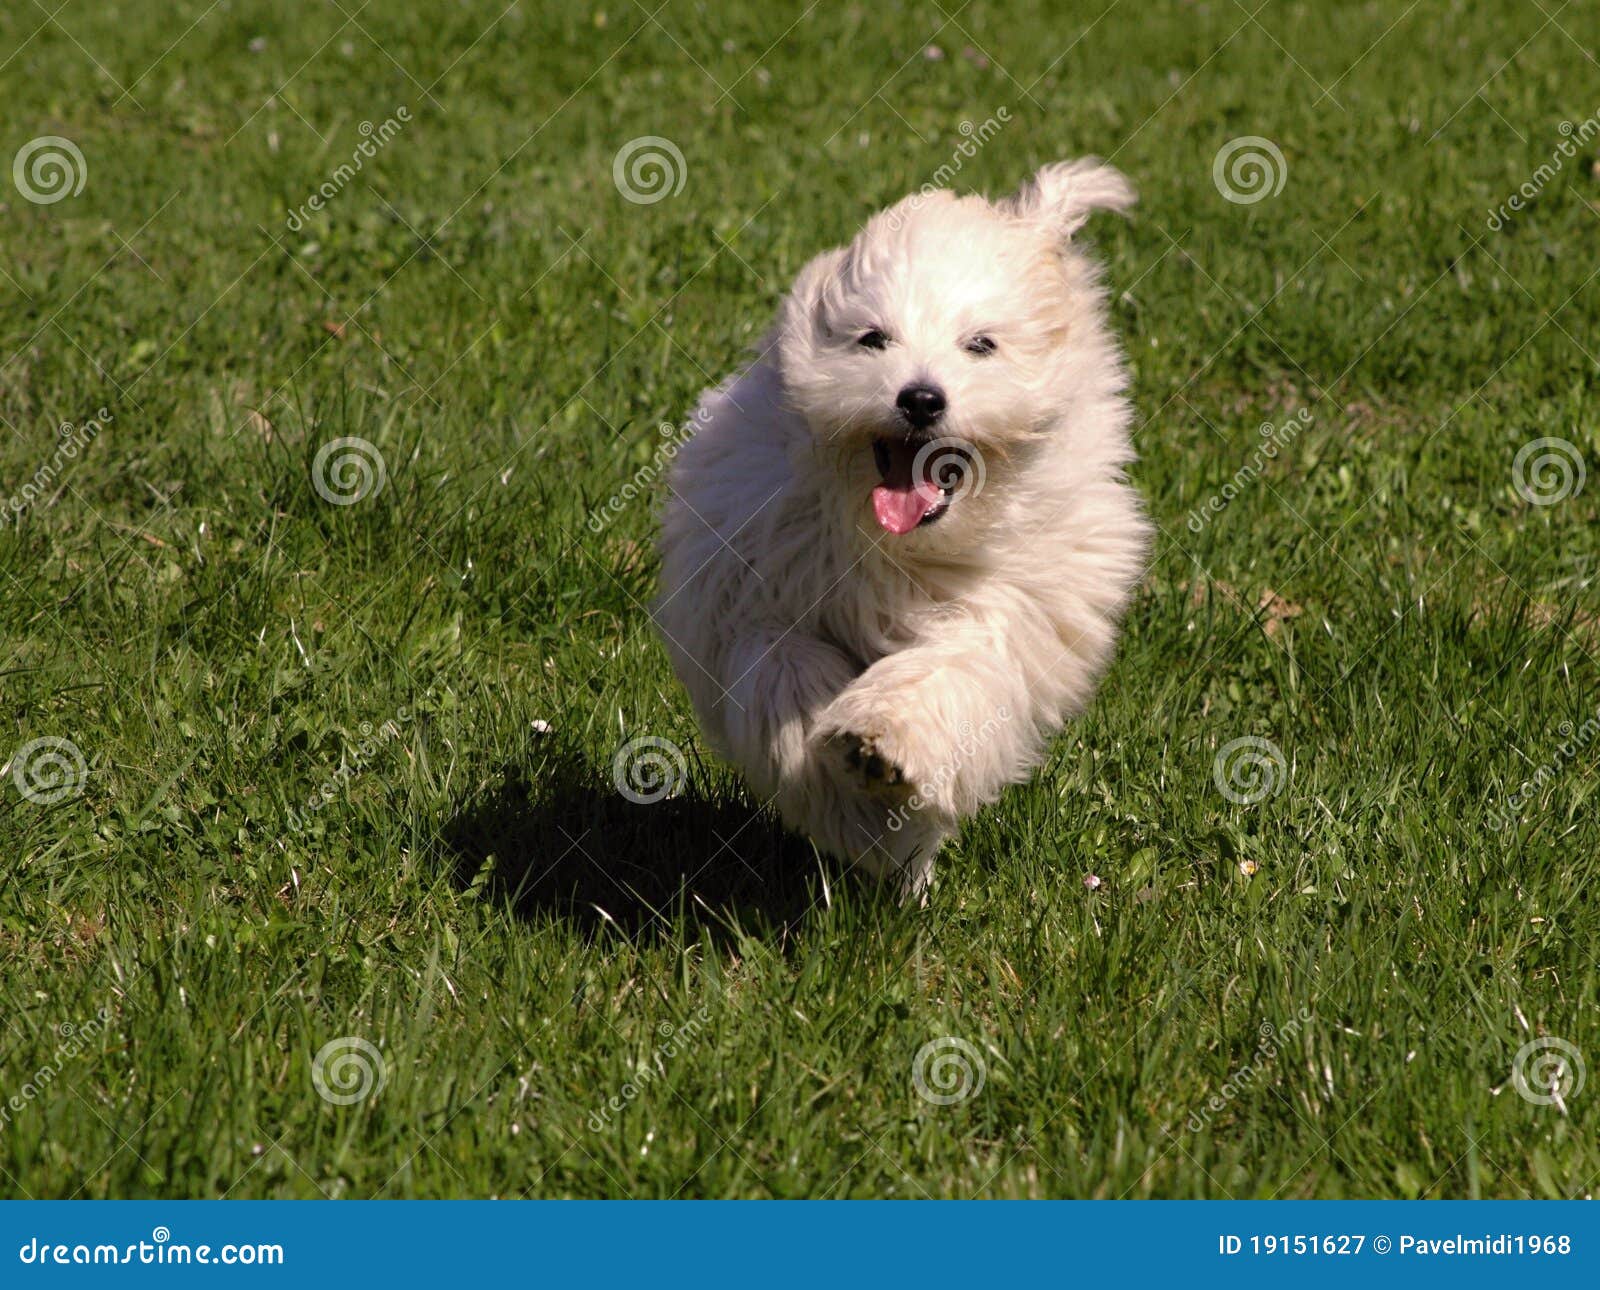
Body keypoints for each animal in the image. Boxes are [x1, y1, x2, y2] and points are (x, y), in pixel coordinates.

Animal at [652, 161, 1152, 896]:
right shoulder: (752, 591)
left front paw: (880, 745)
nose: (919, 398)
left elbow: (945, 669)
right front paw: (841, 785)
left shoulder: (1005, 609)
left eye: (981, 345)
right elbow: (785, 664)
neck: (897, 541)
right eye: (872, 339)